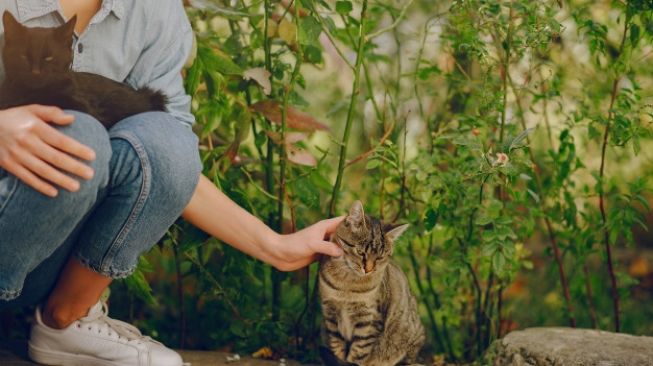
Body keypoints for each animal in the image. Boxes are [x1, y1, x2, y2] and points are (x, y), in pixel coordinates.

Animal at [318, 202, 426, 364]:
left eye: (379, 257)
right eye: (360, 252)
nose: (368, 269)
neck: (346, 286)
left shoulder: (369, 321)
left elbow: (357, 354)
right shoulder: (330, 314)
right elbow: (337, 347)